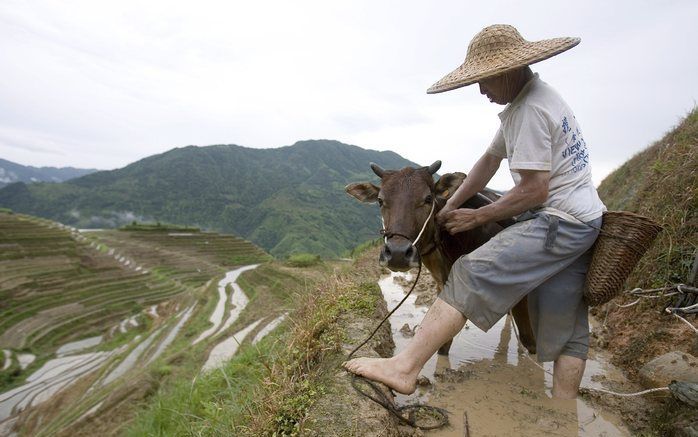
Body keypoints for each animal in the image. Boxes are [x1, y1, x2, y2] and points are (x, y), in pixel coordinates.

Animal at [346, 160, 536, 354]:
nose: (397, 254)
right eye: (380, 200)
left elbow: (530, 340)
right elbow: (442, 343)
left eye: (428, 199)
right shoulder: (441, 282)